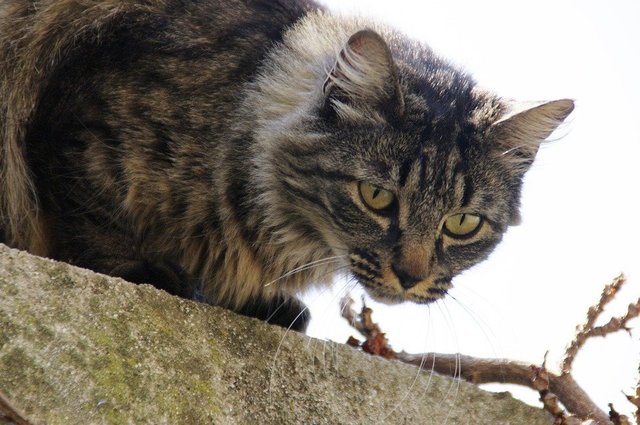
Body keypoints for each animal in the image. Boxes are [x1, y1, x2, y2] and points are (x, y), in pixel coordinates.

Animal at [0, 0, 568, 332]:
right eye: (377, 197)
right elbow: (92, 209)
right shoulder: (79, 125)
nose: (411, 277)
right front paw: (140, 270)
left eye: (463, 223)